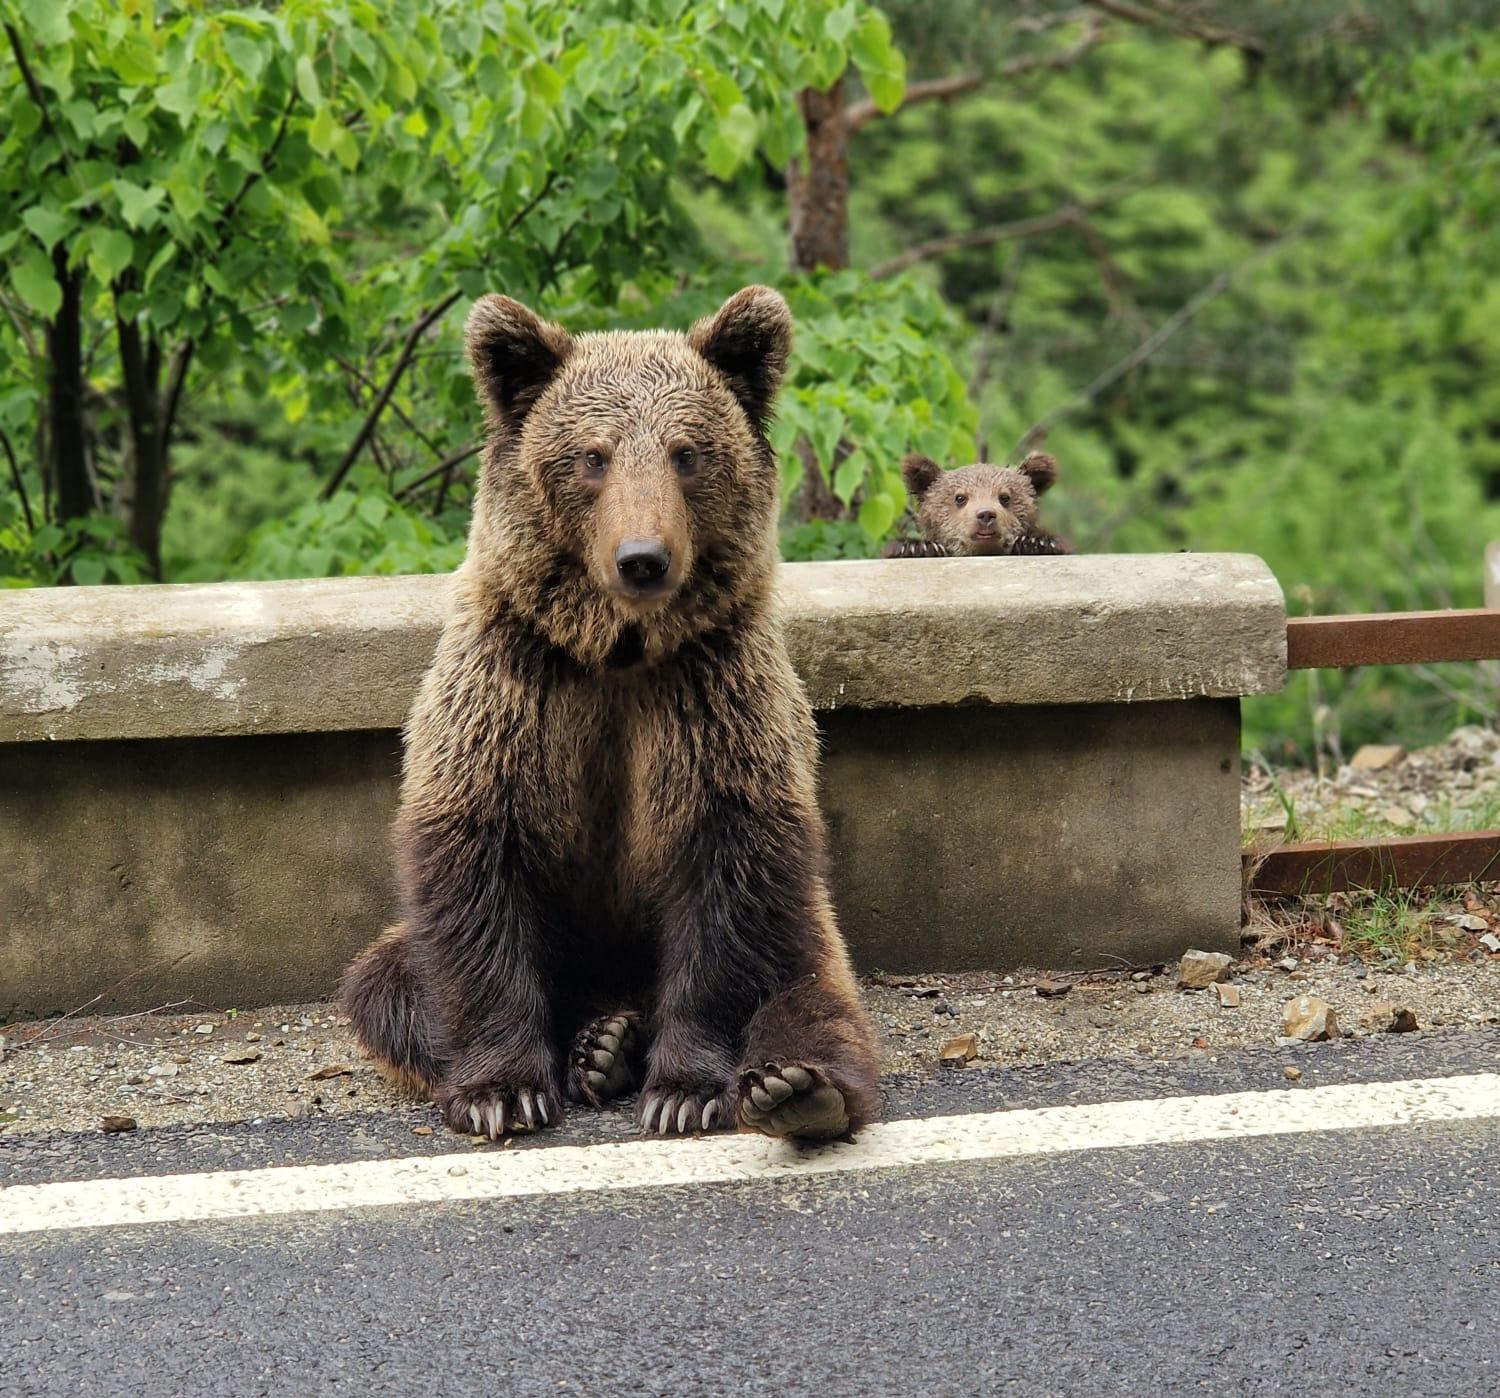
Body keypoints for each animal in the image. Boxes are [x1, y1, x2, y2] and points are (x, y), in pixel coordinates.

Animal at [340, 286, 880, 1144]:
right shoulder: (517, 693)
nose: (642, 558)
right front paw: (503, 1091)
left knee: (813, 998)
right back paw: (602, 1046)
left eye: (687, 452)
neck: (618, 654)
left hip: (809, 931)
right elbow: (478, 870)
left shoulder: (711, 700)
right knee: (385, 985)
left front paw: (687, 1089)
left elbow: (725, 877)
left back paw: (787, 1086)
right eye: (592, 456)